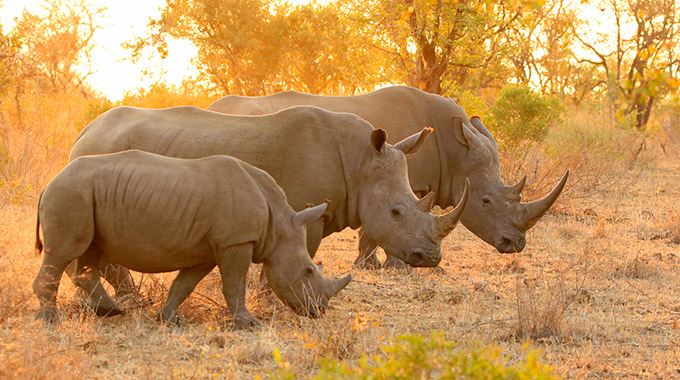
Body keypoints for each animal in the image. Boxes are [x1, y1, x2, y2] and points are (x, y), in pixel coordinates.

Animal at [31, 148, 350, 326]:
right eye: (308, 271)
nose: (319, 311)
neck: (279, 224)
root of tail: (49, 183)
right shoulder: (236, 241)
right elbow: (234, 285)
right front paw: (248, 324)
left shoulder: (208, 250)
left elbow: (184, 284)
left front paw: (166, 319)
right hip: (71, 193)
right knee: (63, 252)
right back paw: (51, 322)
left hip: (84, 195)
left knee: (89, 254)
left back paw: (109, 312)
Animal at [69, 105, 470, 308]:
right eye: (396, 213)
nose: (430, 258)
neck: (359, 162)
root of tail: (84, 130)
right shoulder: (306, 210)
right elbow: (301, 254)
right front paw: (274, 299)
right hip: (102, 153)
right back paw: (127, 301)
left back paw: (129, 299)